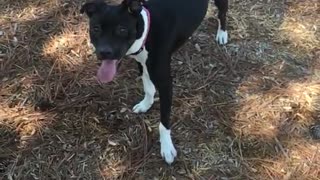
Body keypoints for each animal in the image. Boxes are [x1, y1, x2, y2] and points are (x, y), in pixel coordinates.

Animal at [81, 0, 229, 164]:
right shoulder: (141, 63)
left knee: (222, 13)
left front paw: (167, 148)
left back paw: (222, 33)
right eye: (96, 28)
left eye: (122, 29)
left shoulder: (165, 84)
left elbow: (163, 122)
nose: (103, 52)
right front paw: (146, 104)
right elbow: (148, 88)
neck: (147, 31)